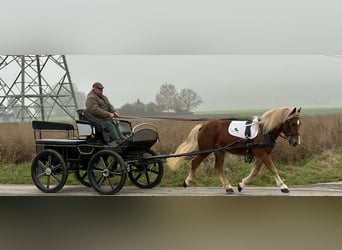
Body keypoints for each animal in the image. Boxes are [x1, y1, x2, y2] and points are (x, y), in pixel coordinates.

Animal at [167, 107, 300, 193]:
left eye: (300, 124)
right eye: (292, 124)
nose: (295, 142)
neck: (264, 131)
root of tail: (203, 126)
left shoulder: (263, 154)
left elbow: (255, 171)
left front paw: (241, 184)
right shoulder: (262, 153)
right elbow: (273, 169)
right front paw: (283, 186)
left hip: (220, 151)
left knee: (218, 167)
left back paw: (228, 187)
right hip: (206, 150)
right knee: (195, 162)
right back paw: (187, 181)